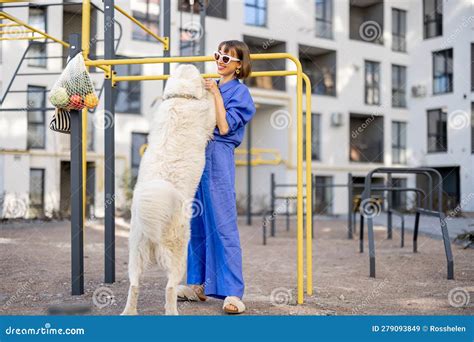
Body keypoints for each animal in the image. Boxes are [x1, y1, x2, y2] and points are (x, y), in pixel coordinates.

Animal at [122, 65, 218, 316]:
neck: (180, 97)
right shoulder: (210, 116)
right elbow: (213, 104)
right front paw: (212, 88)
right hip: (179, 254)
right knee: (170, 288)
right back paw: (172, 311)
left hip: (135, 255)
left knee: (134, 285)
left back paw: (128, 312)